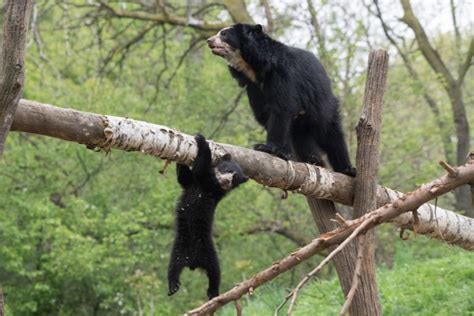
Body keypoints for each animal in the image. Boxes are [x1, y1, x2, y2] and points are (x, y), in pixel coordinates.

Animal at [167, 133, 248, 298]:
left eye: (235, 179)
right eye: (228, 170)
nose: (227, 181)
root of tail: (192, 262)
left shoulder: (211, 187)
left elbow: (200, 170)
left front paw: (201, 140)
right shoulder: (192, 184)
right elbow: (184, 178)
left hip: (210, 255)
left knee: (215, 273)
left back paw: (213, 292)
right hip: (177, 251)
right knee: (172, 269)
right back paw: (173, 287)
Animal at [207, 23, 356, 177]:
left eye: (224, 34)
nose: (209, 41)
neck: (254, 68)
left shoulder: (283, 75)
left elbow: (281, 109)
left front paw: (267, 147)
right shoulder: (253, 86)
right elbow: (264, 113)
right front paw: (284, 152)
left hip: (321, 104)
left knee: (330, 133)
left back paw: (346, 169)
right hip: (302, 121)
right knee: (301, 135)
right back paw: (314, 159)